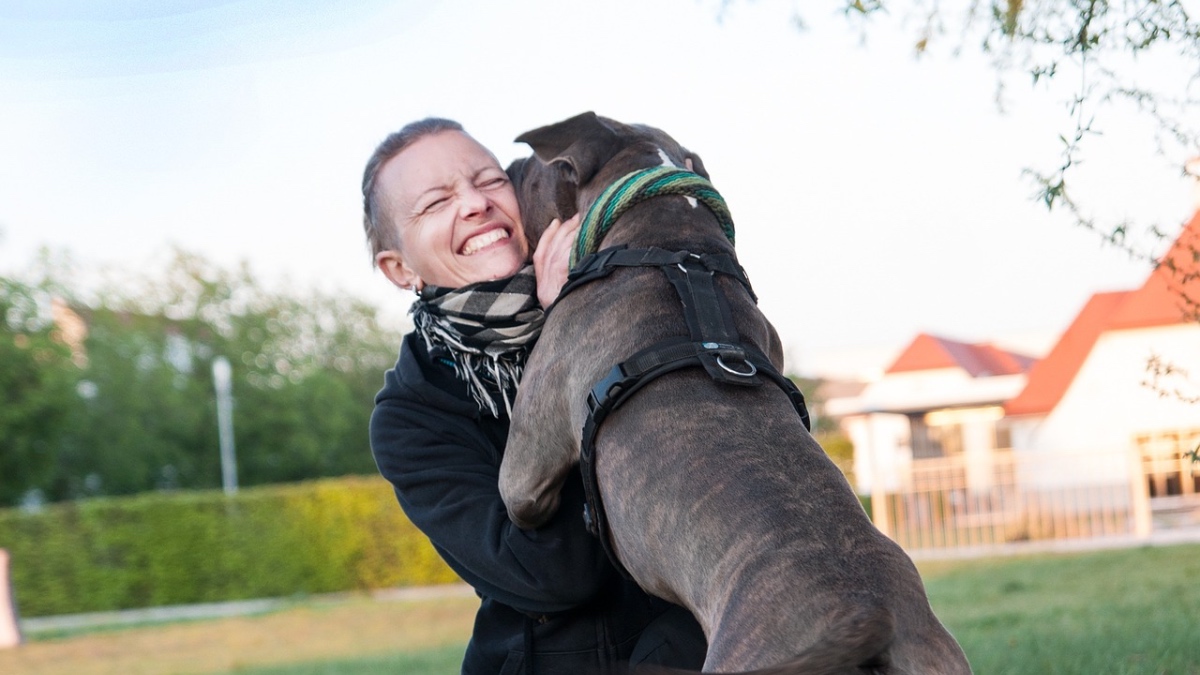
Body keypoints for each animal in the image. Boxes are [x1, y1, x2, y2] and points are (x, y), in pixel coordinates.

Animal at [496, 112, 974, 667]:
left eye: (533, 170)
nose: (508, 169)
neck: (673, 242)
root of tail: (871, 616)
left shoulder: (526, 468)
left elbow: (521, 492)